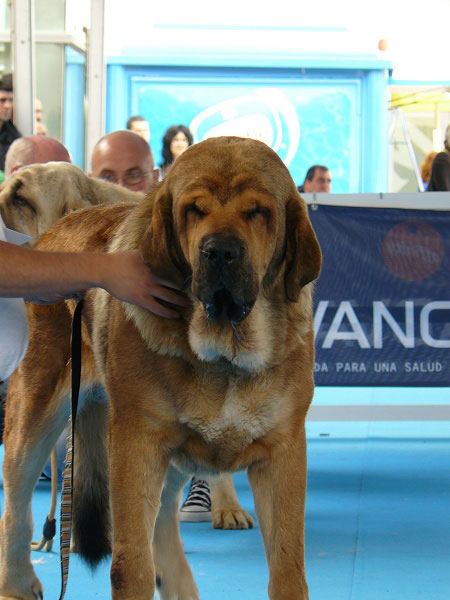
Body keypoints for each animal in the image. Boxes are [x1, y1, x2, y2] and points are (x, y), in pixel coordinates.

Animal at [0, 137, 324, 600]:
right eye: (194, 210)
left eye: (257, 212)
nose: (219, 251)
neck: (224, 353)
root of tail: (56, 228)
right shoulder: (137, 444)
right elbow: (131, 563)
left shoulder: (283, 453)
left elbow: (288, 567)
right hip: (36, 413)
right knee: (15, 506)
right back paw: (20, 583)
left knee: (165, 529)